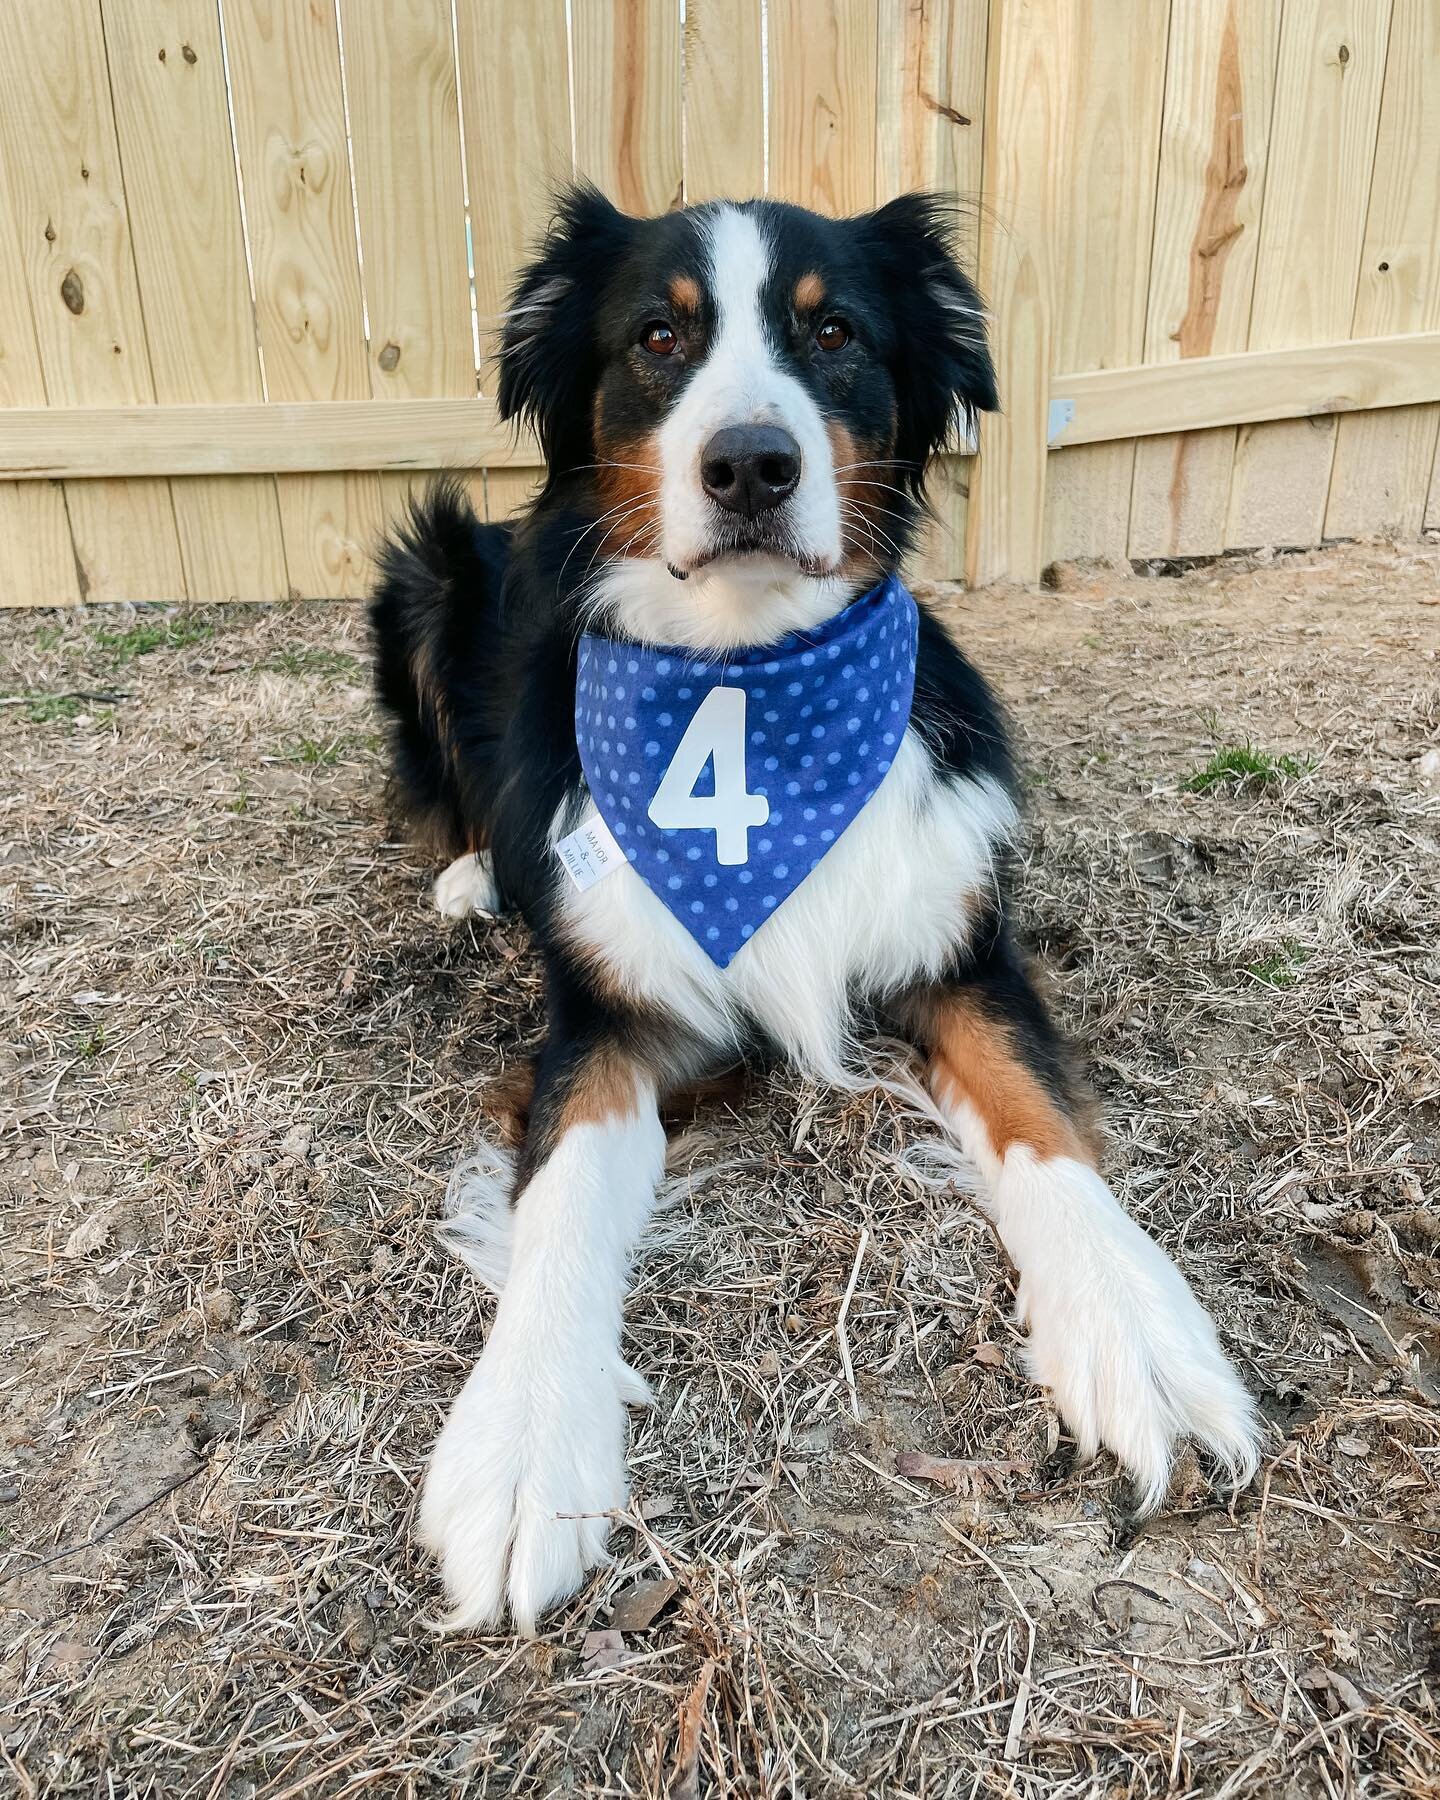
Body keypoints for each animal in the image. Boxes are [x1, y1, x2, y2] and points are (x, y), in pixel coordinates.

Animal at [370, 182, 1260, 1634]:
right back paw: (467, 874)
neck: (748, 679)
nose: (751, 465)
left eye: (833, 330)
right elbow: (561, 1200)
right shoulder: (605, 1017)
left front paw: (1136, 1329)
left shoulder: (960, 959)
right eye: (658, 338)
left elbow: (1044, 1126)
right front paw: (524, 1447)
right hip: (424, 573)